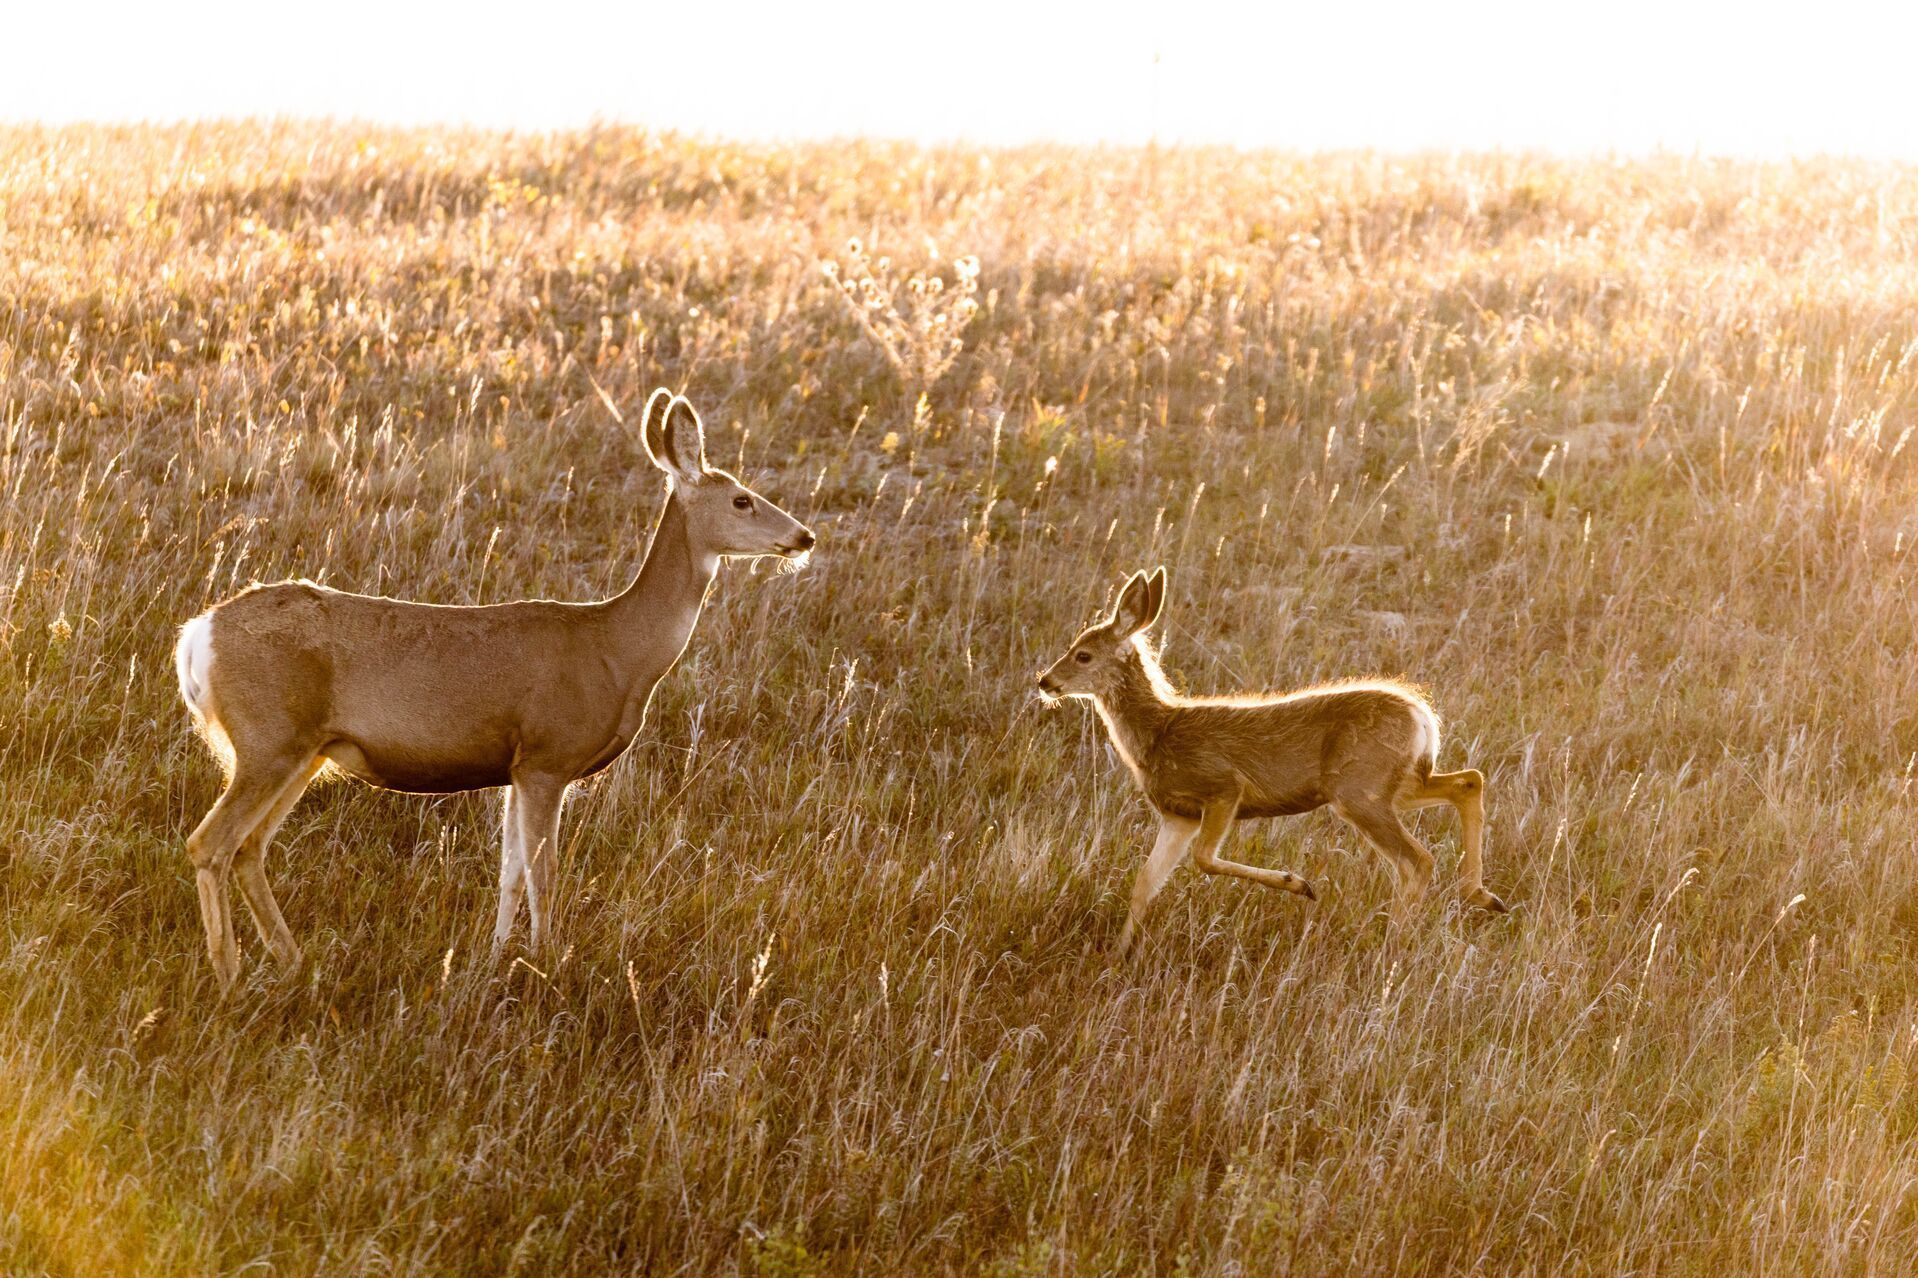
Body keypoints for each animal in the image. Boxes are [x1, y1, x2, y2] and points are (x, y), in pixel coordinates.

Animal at [173, 388, 815, 992]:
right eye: (742, 498)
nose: (805, 537)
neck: (617, 651)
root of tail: (198, 635)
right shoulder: (548, 756)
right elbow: (543, 872)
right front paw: (546, 962)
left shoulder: (516, 766)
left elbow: (509, 872)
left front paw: (494, 957)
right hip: (269, 739)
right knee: (210, 844)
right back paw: (229, 978)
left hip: (302, 751)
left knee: (248, 849)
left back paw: (292, 962)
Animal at [1036, 567, 1507, 957]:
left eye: (1083, 654)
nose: (1045, 681)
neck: (1159, 733)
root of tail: (1422, 714)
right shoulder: (1177, 815)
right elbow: (1144, 883)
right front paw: (1117, 957)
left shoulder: (1223, 787)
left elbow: (1204, 860)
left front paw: (1298, 884)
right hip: (1396, 784)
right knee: (1468, 780)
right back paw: (1483, 896)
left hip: (1359, 791)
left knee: (1418, 859)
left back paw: (1395, 942)